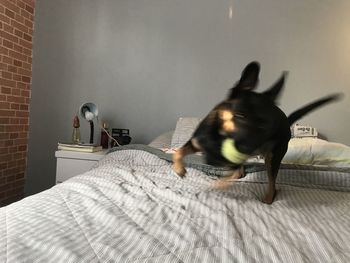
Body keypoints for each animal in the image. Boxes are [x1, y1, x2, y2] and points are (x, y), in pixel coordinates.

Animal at [172, 63, 342, 205]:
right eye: (239, 115)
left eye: (265, 128)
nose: (246, 150)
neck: (219, 139)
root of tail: (286, 121)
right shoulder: (196, 141)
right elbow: (179, 151)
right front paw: (179, 169)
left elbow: (225, 180)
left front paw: (216, 184)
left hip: (273, 158)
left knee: (272, 185)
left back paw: (267, 199)